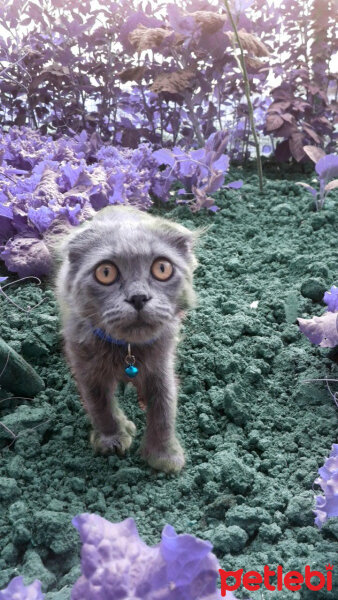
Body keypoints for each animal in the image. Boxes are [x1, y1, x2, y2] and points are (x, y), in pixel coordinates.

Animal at [55, 206, 198, 474]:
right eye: (106, 272)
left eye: (162, 268)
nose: (138, 297)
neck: (127, 350)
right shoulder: (86, 368)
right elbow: (100, 406)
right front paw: (112, 439)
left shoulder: (161, 366)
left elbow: (164, 408)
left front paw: (164, 455)